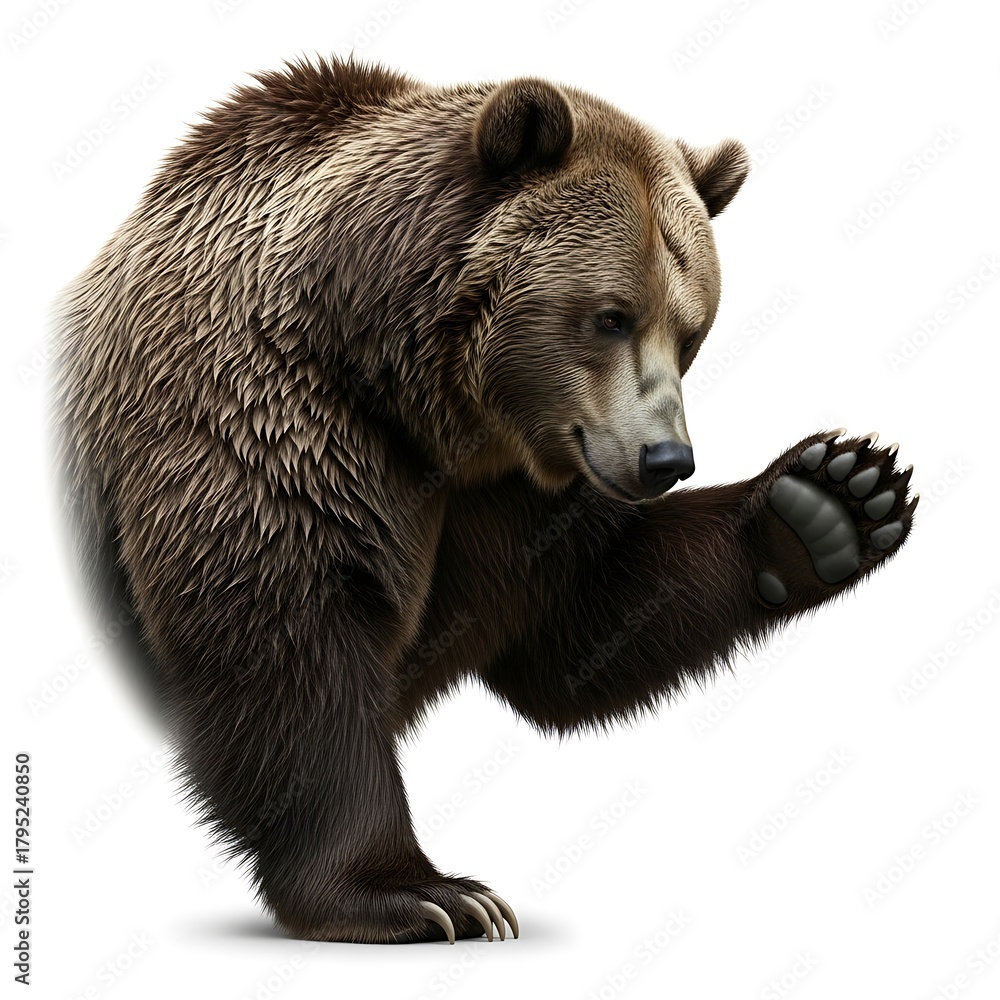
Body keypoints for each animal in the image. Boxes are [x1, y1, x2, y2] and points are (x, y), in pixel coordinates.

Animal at [52, 57, 917, 944]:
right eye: (611, 316)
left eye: (691, 330)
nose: (666, 458)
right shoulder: (263, 417)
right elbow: (286, 637)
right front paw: (426, 895)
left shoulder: (510, 499)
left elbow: (585, 621)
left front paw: (832, 499)